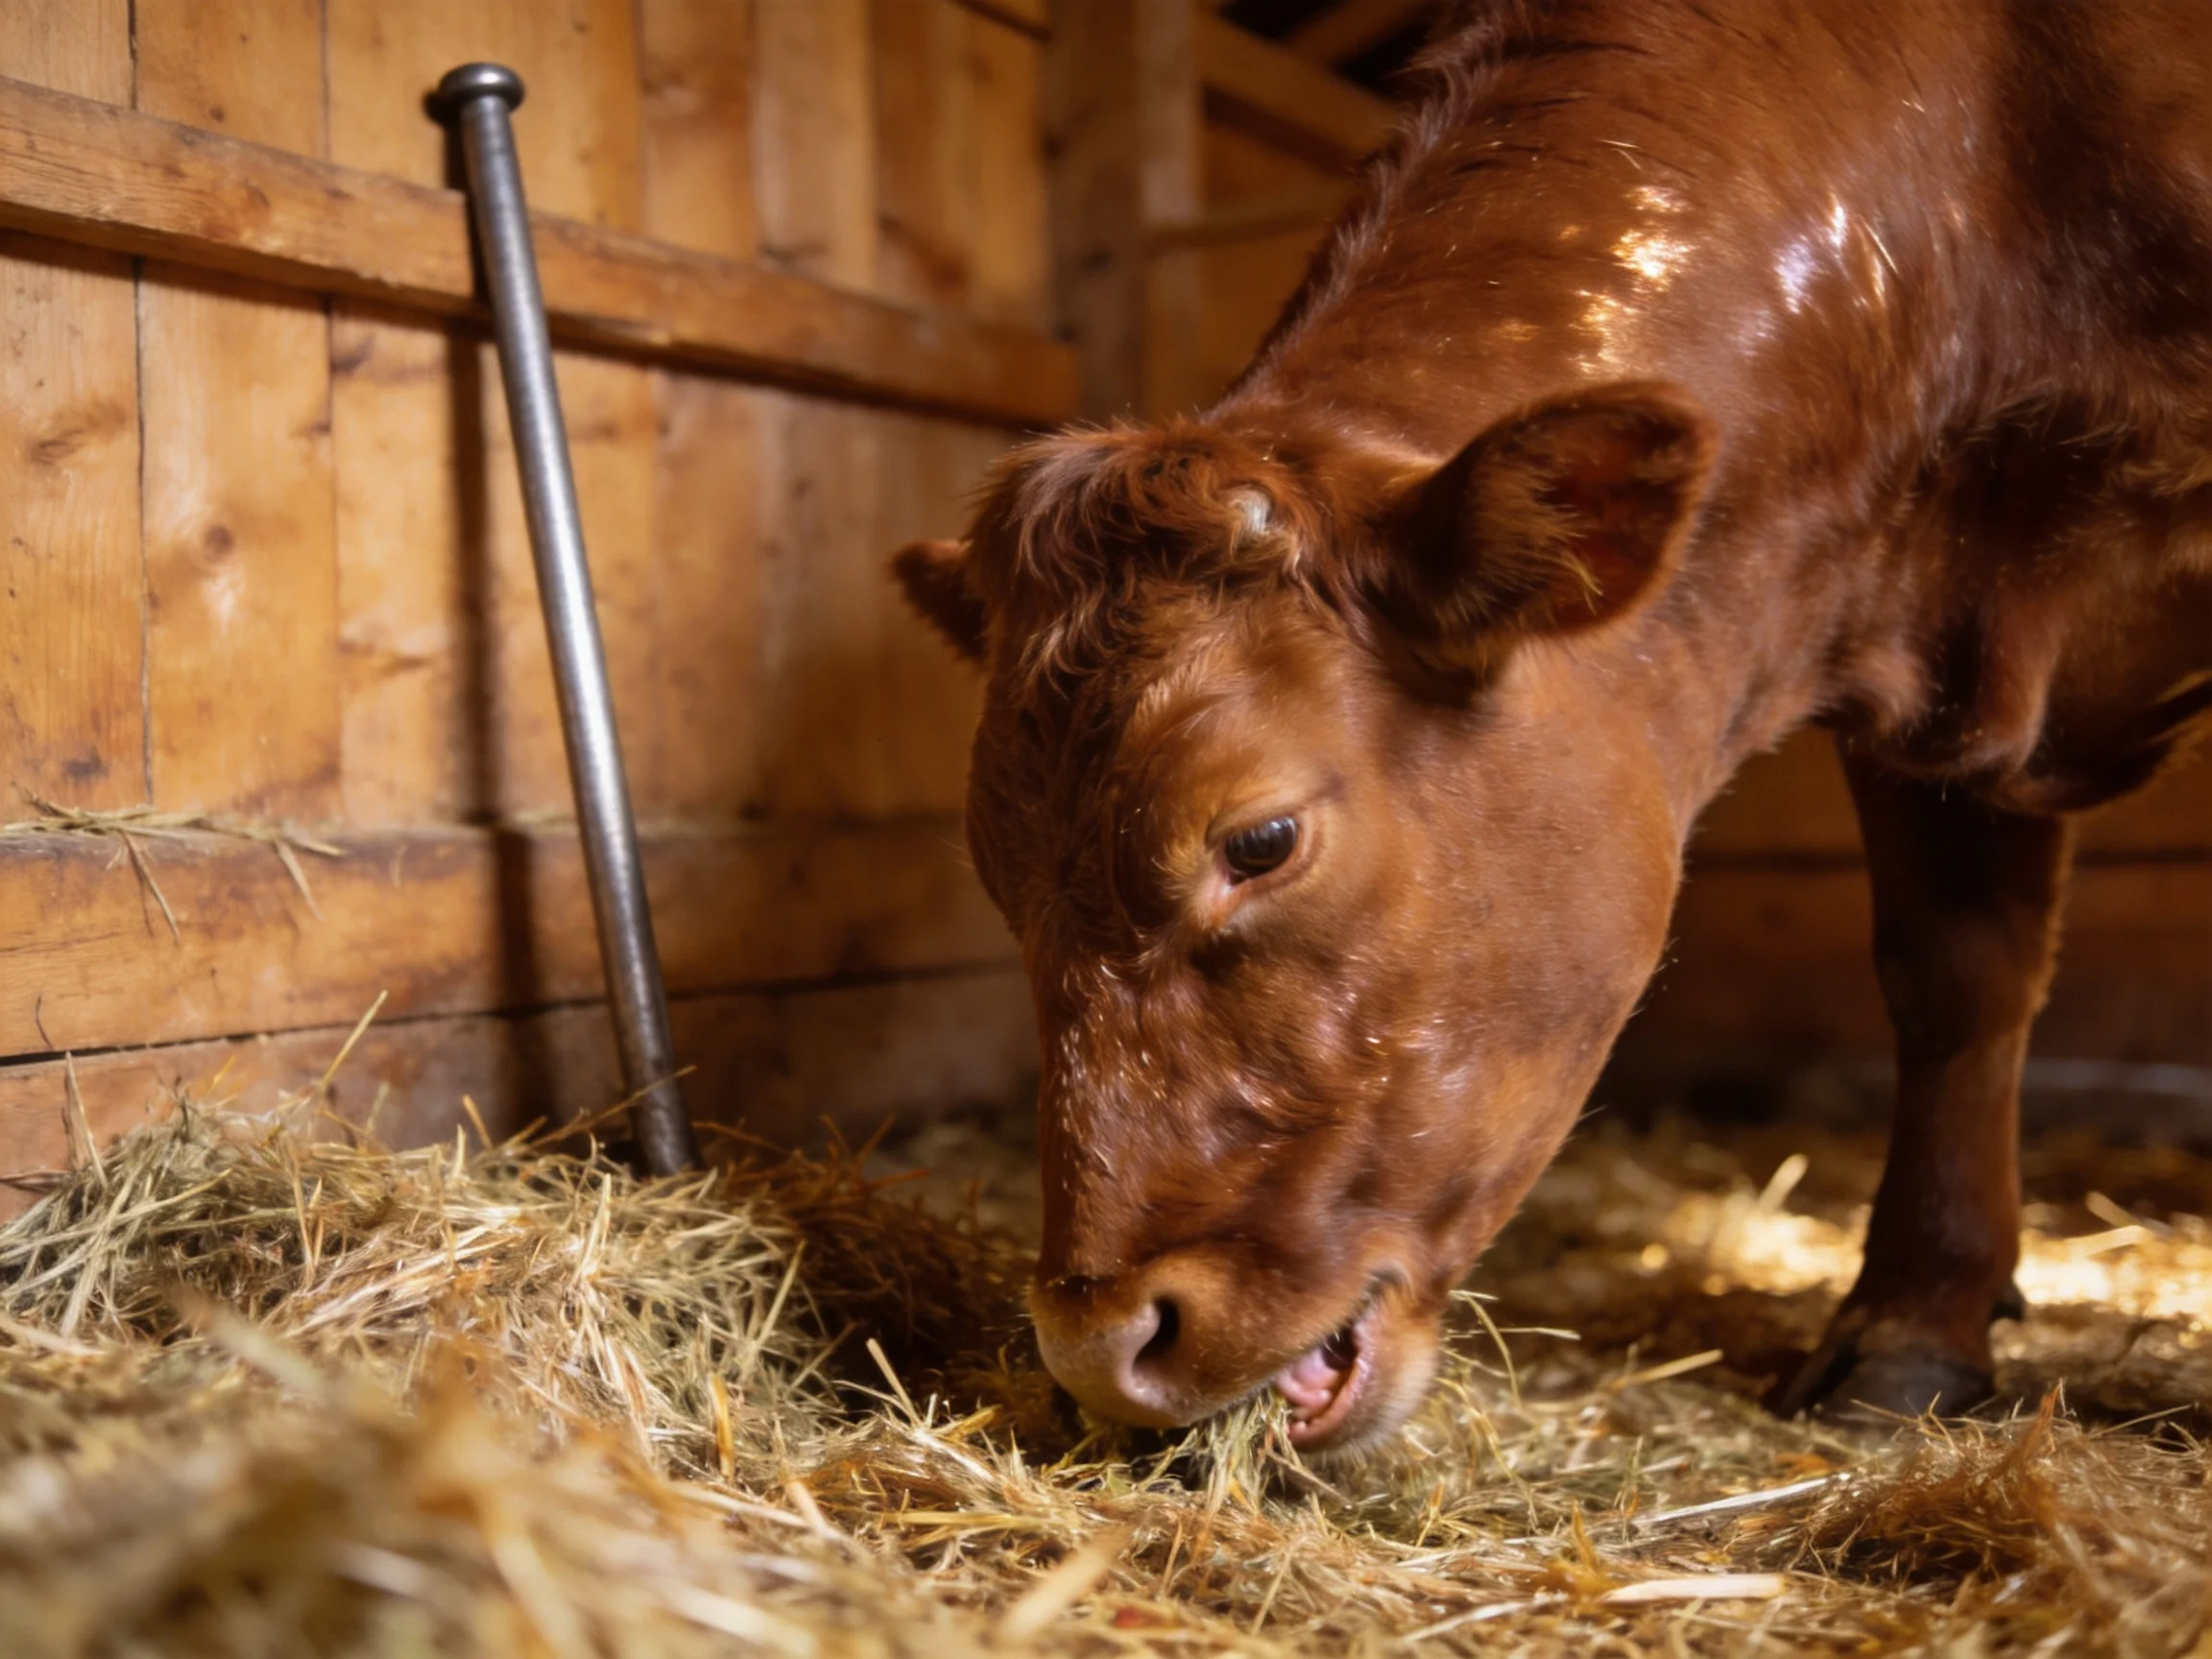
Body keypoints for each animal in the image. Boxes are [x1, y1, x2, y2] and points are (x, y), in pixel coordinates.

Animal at [890, 0, 2212, 1453]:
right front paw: (1913, 1331)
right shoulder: (1931, 681)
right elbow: (1957, 980)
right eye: (1002, 882)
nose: (1093, 1346)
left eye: (1262, 841)